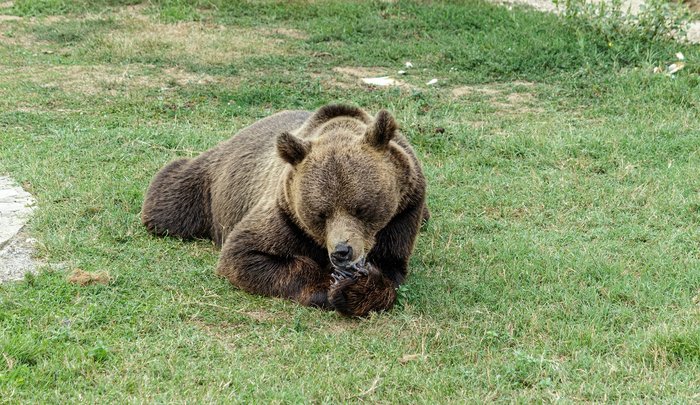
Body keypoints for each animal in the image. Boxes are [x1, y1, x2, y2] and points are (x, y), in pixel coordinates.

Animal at [141, 104, 426, 316]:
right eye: (320, 214)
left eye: (362, 208)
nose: (342, 251)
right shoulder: (285, 213)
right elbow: (245, 254)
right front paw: (330, 284)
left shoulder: (403, 213)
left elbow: (390, 269)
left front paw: (353, 288)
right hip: (208, 184)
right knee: (170, 202)